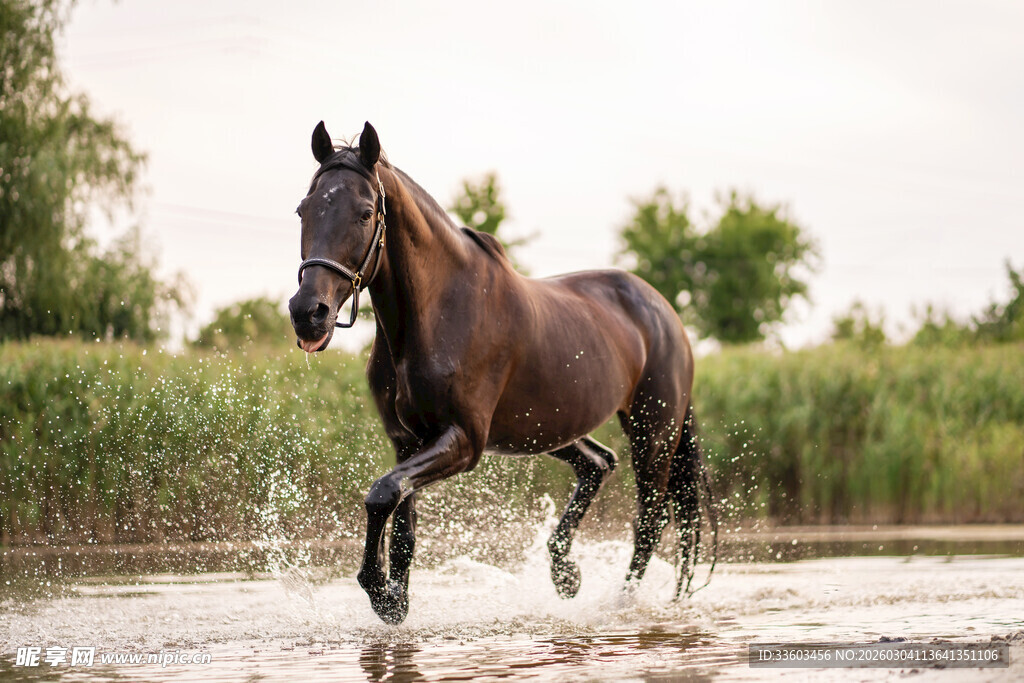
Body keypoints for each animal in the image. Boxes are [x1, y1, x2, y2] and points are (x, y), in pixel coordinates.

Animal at [288, 121, 717, 624]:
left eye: (365, 212)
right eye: (303, 210)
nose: (307, 313)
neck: (436, 315)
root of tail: (666, 313)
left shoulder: (465, 440)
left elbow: (381, 495)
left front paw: (379, 590)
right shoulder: (407, 441)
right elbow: (400, 521)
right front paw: (394, 599)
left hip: (653, 431)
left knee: (649, 519)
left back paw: (619, 604)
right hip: (545, 429)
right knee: (599, 464)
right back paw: (566, 575)